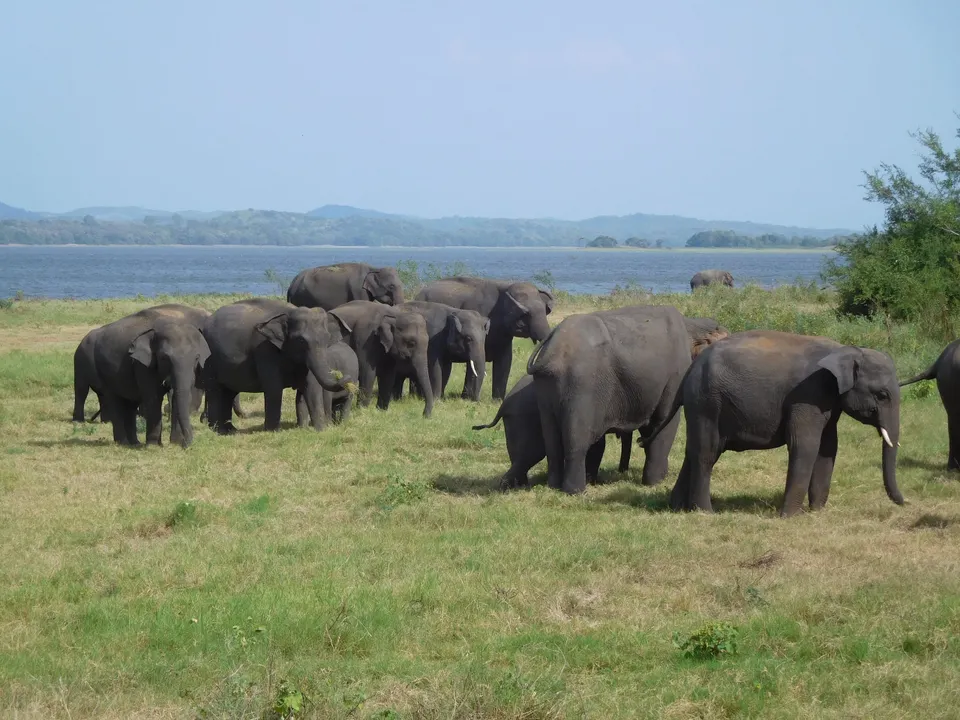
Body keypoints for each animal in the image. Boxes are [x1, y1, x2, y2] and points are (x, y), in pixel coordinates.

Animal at [92, 314, 210, 447]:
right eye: (164, 358)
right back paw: (123, 443)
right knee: (114, 401)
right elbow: (154, 398)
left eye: (196, 358)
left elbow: (176, 397)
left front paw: (175, 443)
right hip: (104, 373)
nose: (186, 445)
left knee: (131, 405)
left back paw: (135, 443)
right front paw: (153, 446)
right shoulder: (142, 365)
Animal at [201, 298, 351, 433]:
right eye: (301, 340)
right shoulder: (264, 349)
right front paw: (273, 432)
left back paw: (230, 430)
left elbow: (311, 386)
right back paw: (218, 430)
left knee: (228, 393)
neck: (289, 312)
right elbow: (274, 387)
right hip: (210, 362)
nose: (345, 377)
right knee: (216, 392)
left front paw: (321, 430)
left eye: (327, 338)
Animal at [415, 276, 554, 400]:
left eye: (545, 311)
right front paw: (467, 399)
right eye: (526, 314)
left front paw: (497, 400)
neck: (506, 286)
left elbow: (505, 360)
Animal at [478, 315, 728, 489]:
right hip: (580, 385)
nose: (623, 469)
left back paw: (546, 485)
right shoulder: (674, 376)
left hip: (548, 391)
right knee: (572, 442)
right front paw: (655, 483)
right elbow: (664, 422)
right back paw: (575, 490)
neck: (693, 325)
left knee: (551, 443)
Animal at [639, 330, 903, 517]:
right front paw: (790, 517)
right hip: (706, 402)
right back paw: (706, 513)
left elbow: (829, 447)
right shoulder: (807, 395)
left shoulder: (829, 400)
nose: (904, 502)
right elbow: (805, 445)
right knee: (707, 453)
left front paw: (817, 512)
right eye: (882, 395)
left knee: (695, 451)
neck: (845, 350)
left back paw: (676, 508)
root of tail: (690, 368)